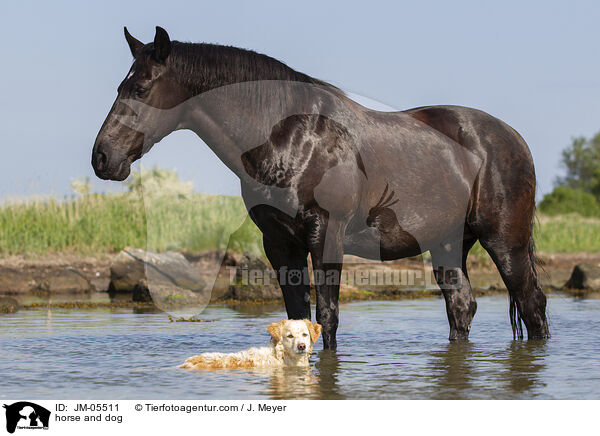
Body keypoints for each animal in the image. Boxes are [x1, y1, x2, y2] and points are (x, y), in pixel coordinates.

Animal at [92, 26, 548, 348]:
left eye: (140, 88)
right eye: (119, 87)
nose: (102, 158)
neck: (291, 136)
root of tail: (512, 138)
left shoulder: (325, 233)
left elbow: (325, 318)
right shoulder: (279, 243)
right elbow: (295, 319)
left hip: (505, 243)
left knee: (532, 305)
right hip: (449, 243)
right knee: (461, 306)